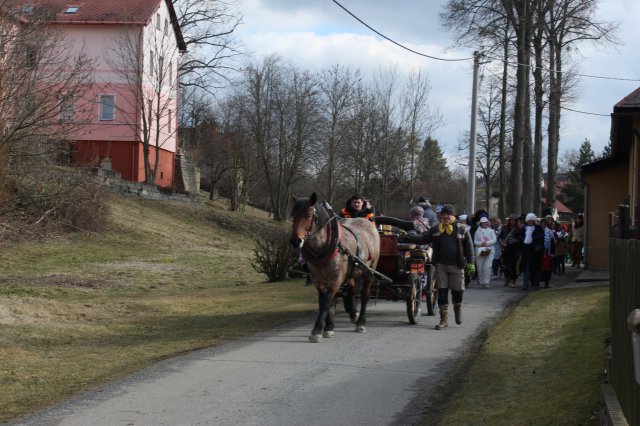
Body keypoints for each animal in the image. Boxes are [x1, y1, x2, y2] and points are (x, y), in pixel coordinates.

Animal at [290, 193, 380, 342]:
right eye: (293, 214)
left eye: (308, 215)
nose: (295, 241)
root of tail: (368, 224)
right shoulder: (318, 279)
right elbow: (325, 302)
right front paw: (328, 327)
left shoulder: (336, 279)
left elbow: (327, 302)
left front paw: (317, 331)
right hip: (352, 271)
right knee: (351, 290)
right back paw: (352, 313)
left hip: (369, 270)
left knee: (364, 295)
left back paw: (361, 322)